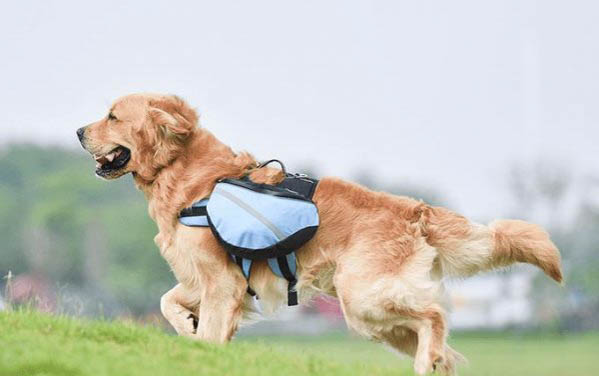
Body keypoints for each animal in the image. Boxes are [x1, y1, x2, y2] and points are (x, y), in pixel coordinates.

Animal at [78, 93, 564, 374]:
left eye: (112, 116)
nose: (79, 130)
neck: (190, 179)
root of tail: (414, 210)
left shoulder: (223, 283)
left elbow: (210, 333)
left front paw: (201, 345)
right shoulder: (207, 279)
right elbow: (167, 301)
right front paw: (185, 326)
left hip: (362, 298)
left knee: (435, 317)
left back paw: (428, 358)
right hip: (380, 319)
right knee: (440, 345)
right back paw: (432, 362)